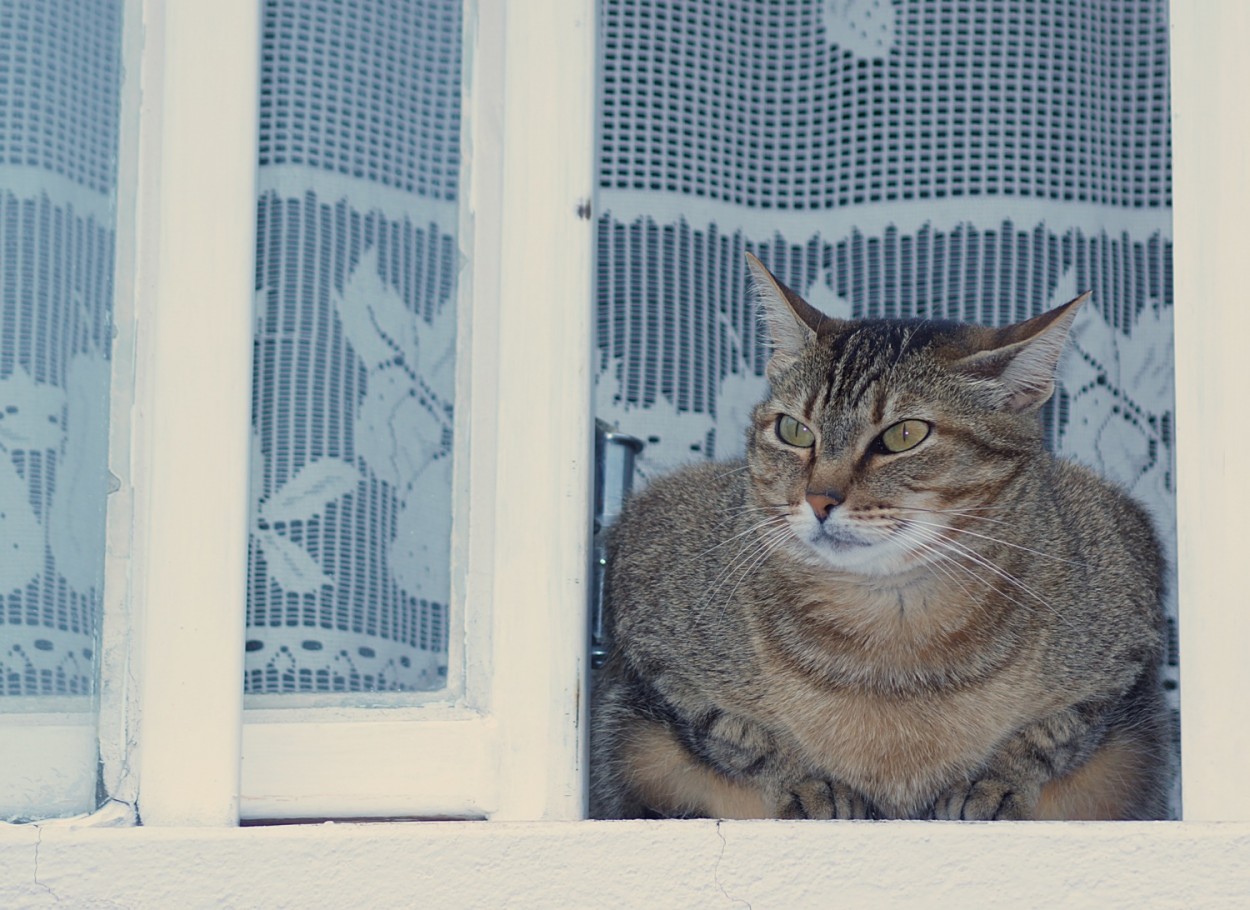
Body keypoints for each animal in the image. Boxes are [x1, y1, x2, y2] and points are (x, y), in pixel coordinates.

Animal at [587, 252, 1170, 820]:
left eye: (904, 435)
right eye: (794, 430)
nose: (819, 499)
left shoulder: (1127, 611)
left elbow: (1049, 735)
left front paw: (991, 783)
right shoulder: (648, 594)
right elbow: (741, 735)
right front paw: (810, 784)